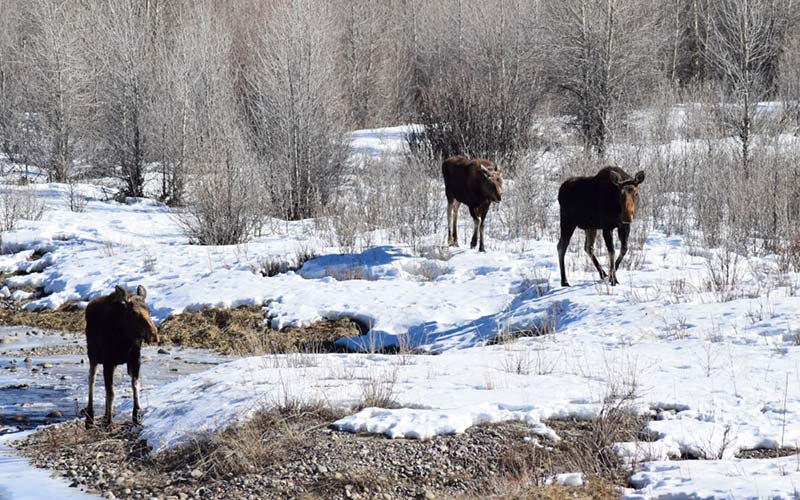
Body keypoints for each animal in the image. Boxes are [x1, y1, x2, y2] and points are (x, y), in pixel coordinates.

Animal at [85, 284, 159, 428]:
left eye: (150, 311)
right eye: (134, 313)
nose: (154, 335)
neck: (125, 341)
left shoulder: (135, 359)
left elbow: (135, 385)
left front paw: (136, 417)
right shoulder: (108, 361)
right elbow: (111, 392)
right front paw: (109, 423)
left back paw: (105, 414)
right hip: (93, 356)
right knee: (92, 379)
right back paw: (90, 418)